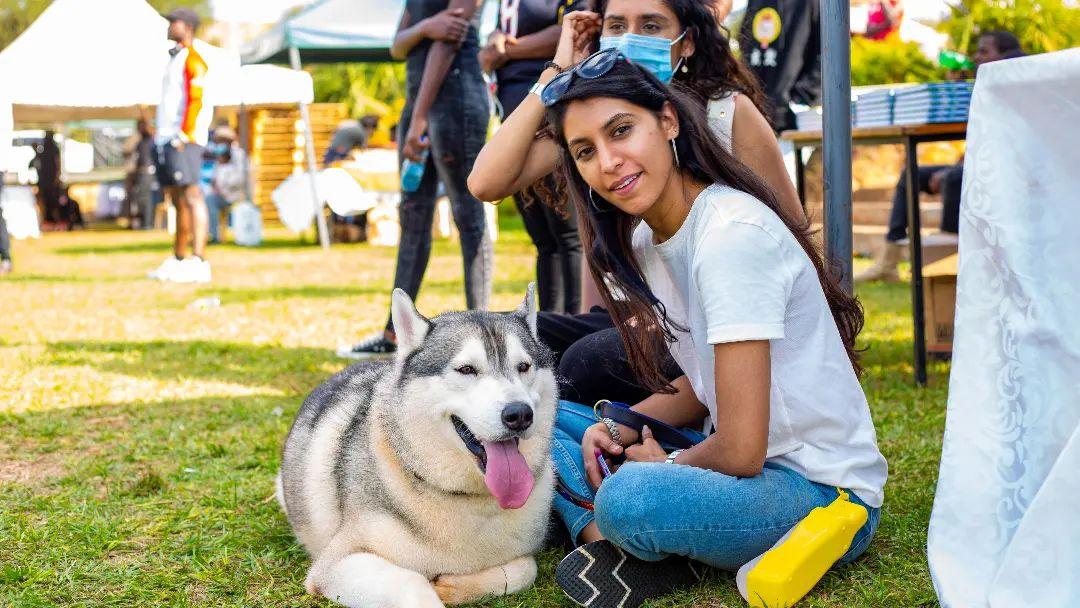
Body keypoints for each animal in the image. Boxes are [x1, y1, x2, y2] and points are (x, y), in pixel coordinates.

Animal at [278, 287, 557, 608]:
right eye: (466, 369)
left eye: (523, 367)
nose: (520, 414)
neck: (466, 497)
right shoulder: (337, 564)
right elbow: (412, 582)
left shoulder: (522, 554)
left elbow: (526, 568)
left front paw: (452, 585)